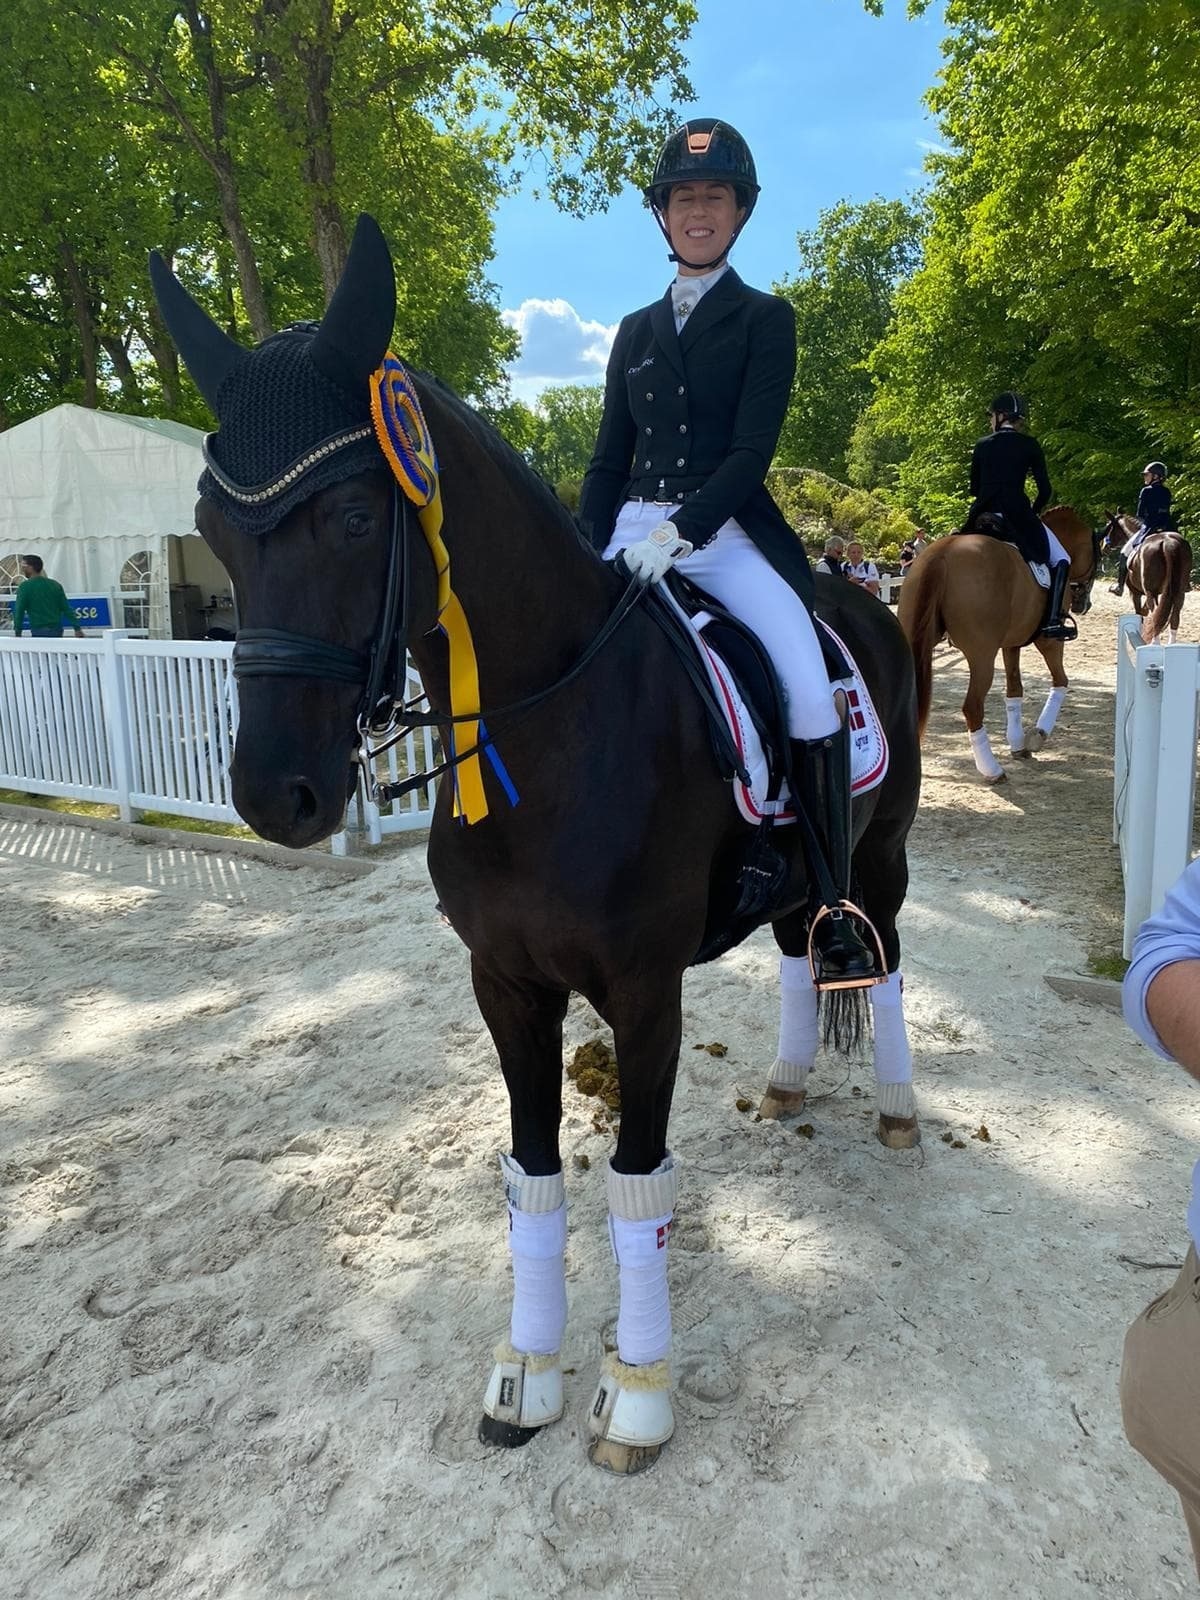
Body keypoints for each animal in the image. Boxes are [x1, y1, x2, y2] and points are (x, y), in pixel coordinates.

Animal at [149, 214, 922, 1475]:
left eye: (354, 517)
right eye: (214, 528)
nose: (276, 794)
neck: (554, 727)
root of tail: (858, 596)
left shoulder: (646, 990)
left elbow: (638, 1181)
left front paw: (637, 1395)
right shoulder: (505, 983)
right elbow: (536, 1177)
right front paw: (528, 1373)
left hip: (884, 850)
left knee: (880, 953)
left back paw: (899, 1107)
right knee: (800, 953)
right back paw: (787, 1083)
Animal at [897, 506, 1099, 783]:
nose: (1084, 605)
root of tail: (943, 554)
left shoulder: (1011, 644)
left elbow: (1014, 690)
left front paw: (1017, 744)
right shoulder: (1049, 641)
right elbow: (1061, 681)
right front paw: (1038, 734)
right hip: (982, 655)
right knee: (972, 707)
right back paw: (992, 769)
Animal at [1100, 513, 1191, 644]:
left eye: (1109, 527)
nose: (1103, 547)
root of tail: (1168, 542)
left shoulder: (1135, 593)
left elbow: (1140, 613)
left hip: (1149, 591)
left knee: (1154, 611)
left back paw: (1155, 642)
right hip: (1179, 592)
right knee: (1174, 613)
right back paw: (1171, 643)